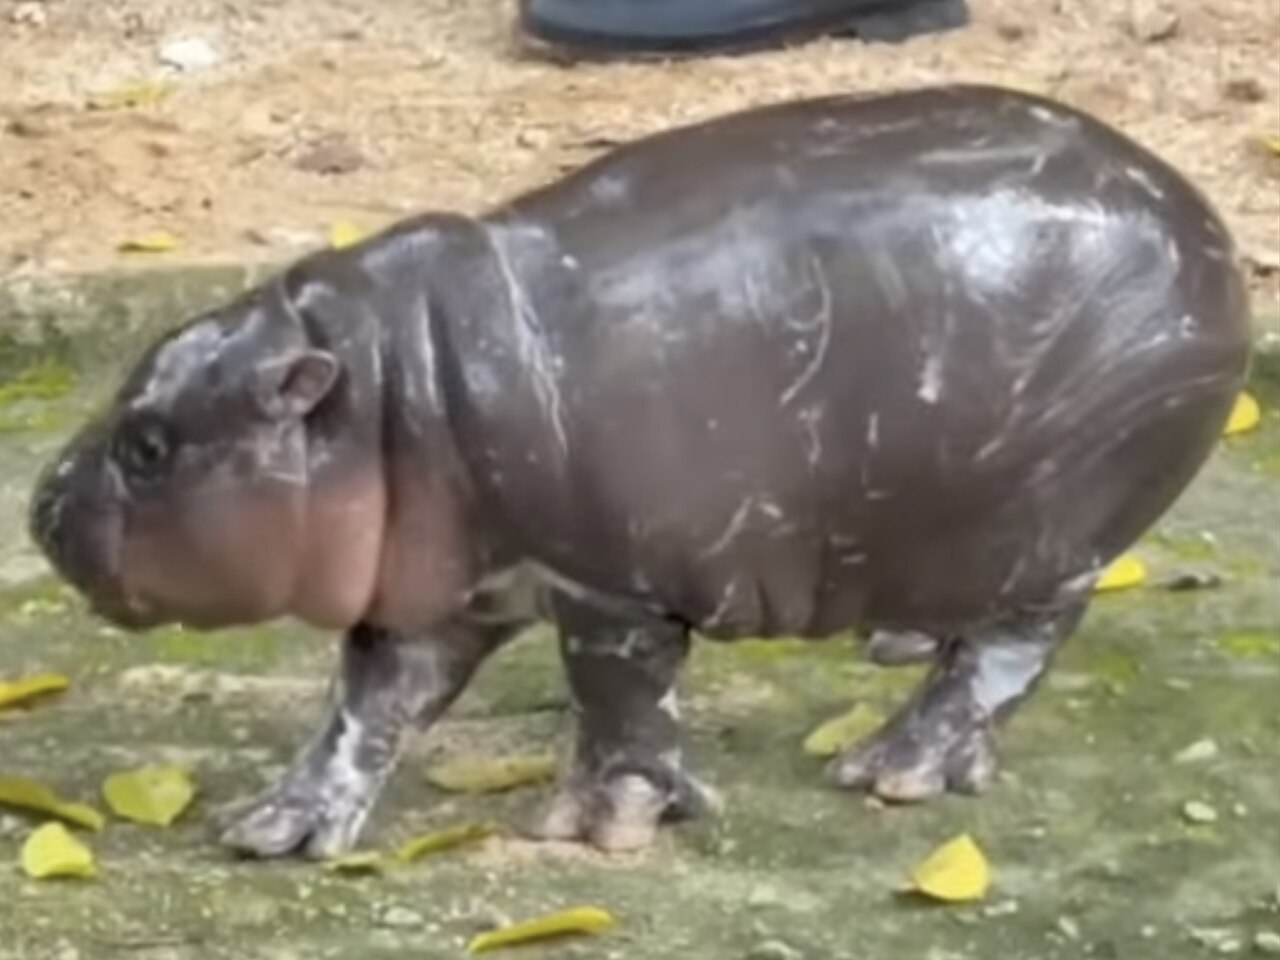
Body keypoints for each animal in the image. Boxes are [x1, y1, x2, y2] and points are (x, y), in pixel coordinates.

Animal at [27, 86, 1249, 860]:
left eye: (147, 445)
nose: (38, 505)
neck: (384, 381)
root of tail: (1203, 220)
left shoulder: (608, 586)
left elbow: (618, 710)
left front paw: (595, 829)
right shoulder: (435, 595)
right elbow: (366, 708)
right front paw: (275, 827)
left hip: (1054, 532)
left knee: (1007, 651)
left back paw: (891, 768)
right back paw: (894, 646)